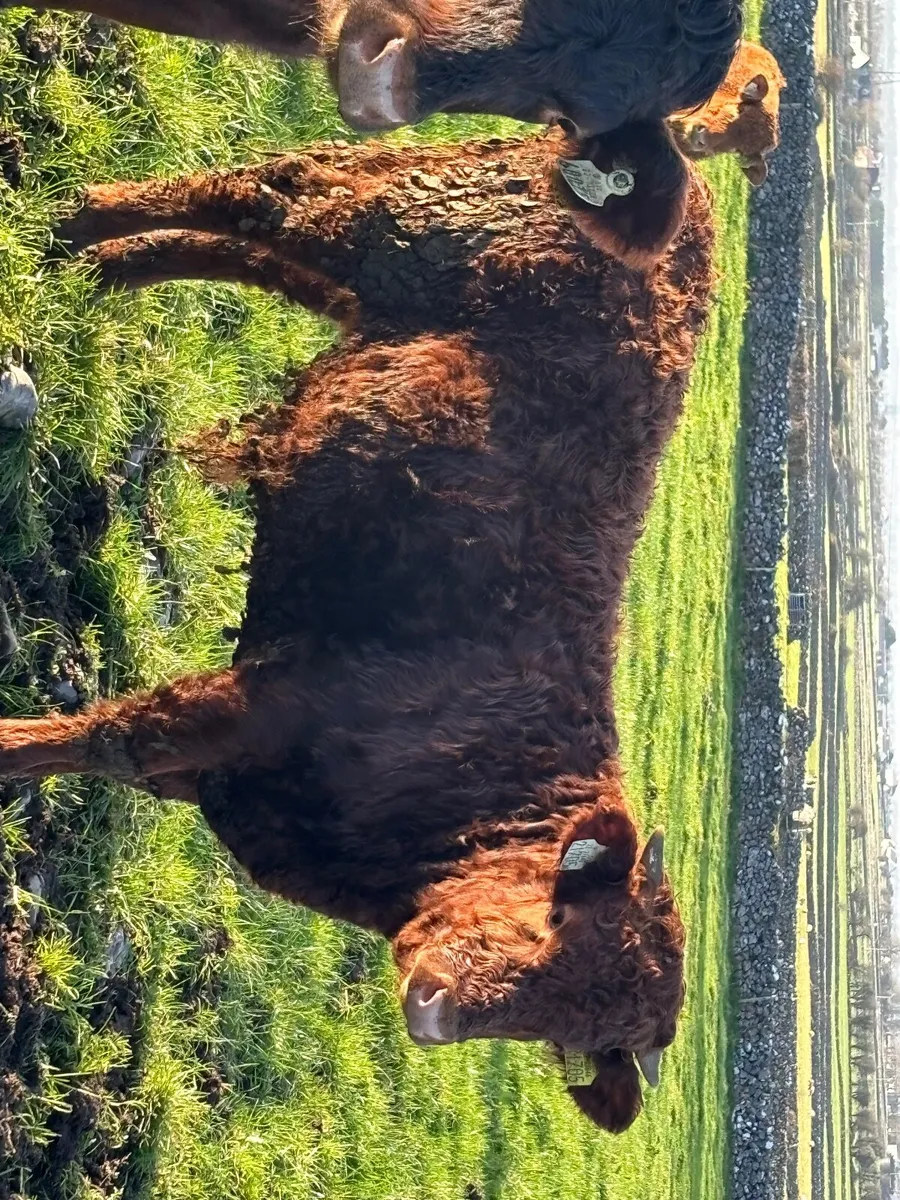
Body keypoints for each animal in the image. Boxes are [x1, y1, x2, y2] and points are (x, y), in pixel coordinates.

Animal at [0, 120, 715, 1131]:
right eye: (557, 920)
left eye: (560, 1033)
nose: (435, 1006)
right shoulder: (259, 702)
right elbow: (109, 738)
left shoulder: (226, 765)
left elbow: (124, 755)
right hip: (388, 229)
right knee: (260, 196)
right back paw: (76, 225)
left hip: (377, 270)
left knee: (247, 245)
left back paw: (90, 269)